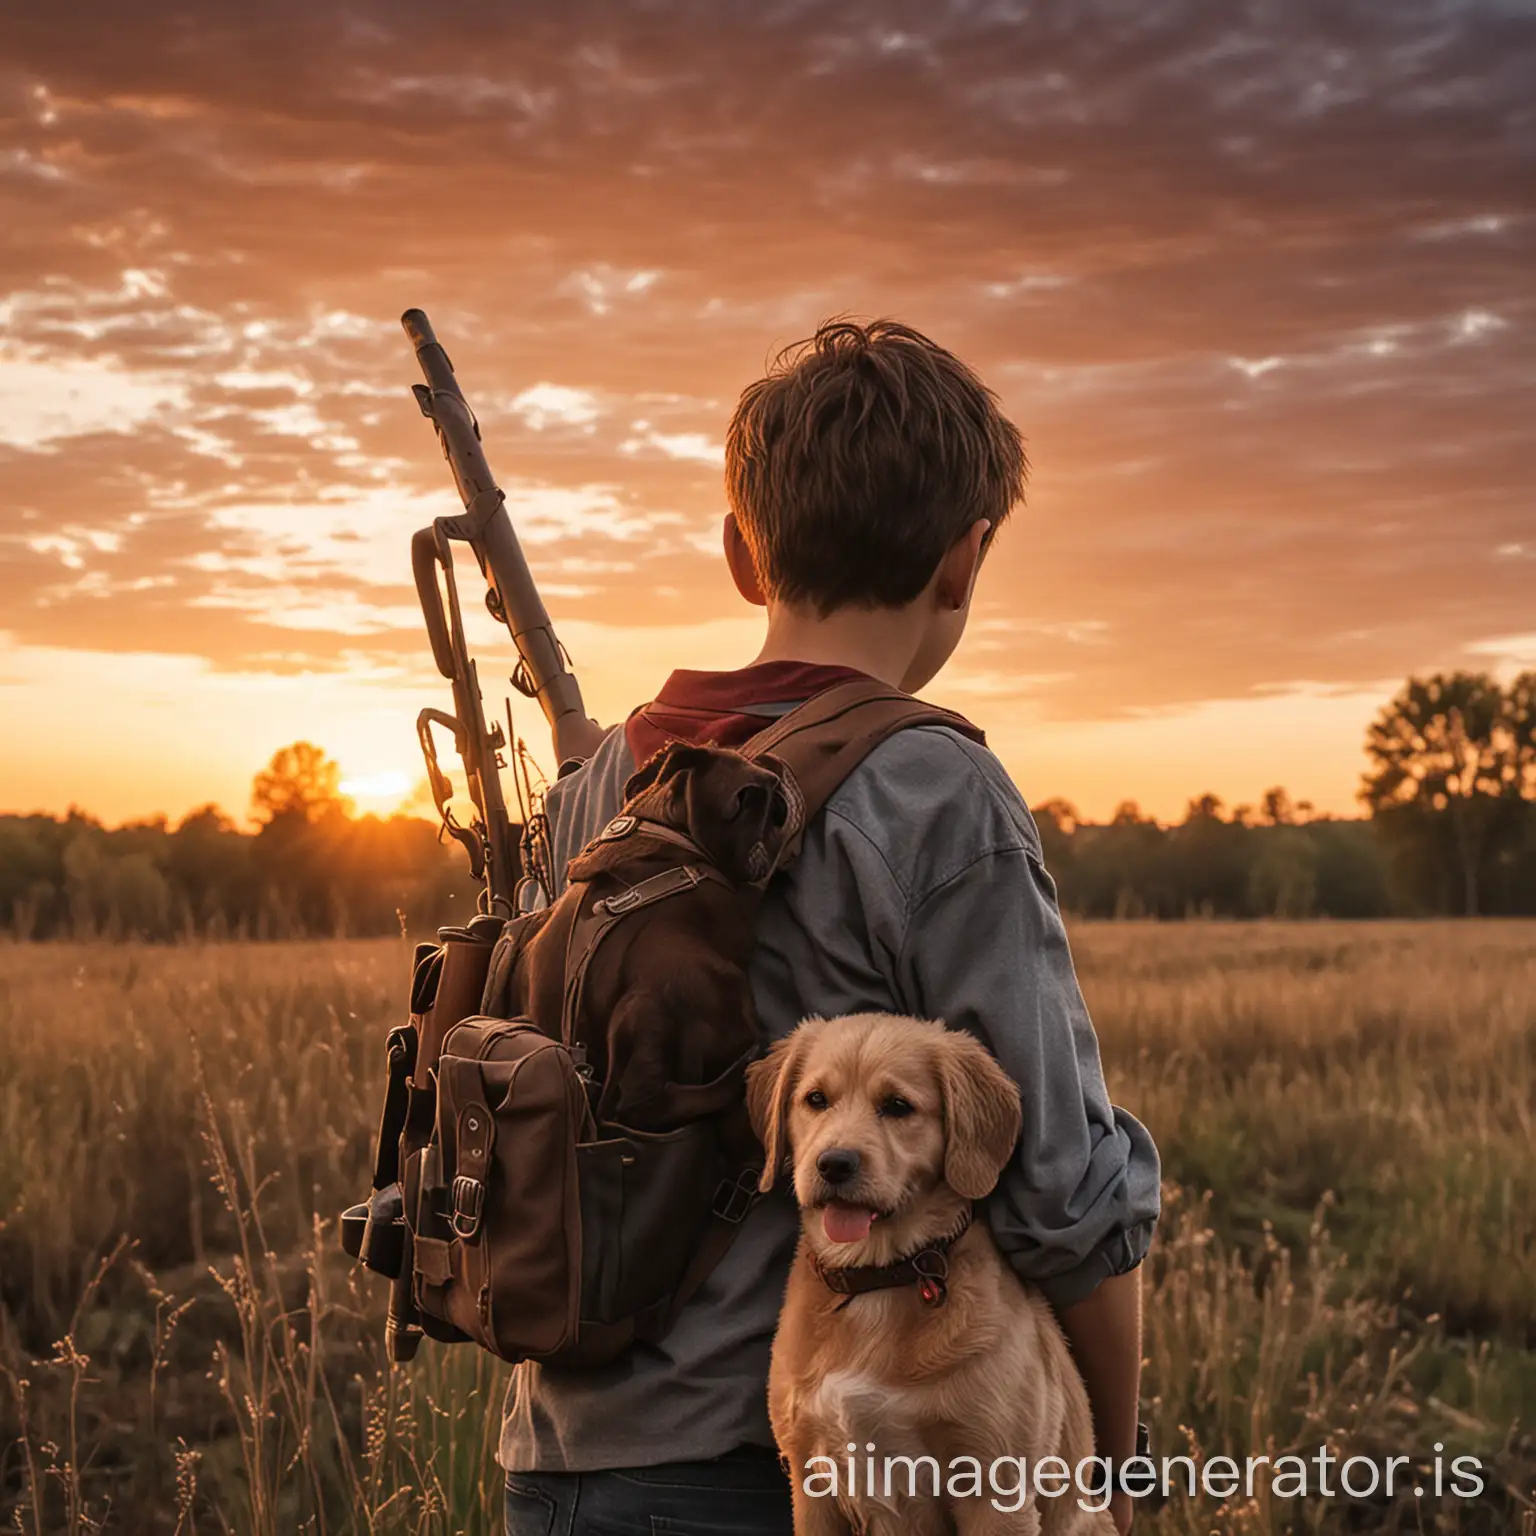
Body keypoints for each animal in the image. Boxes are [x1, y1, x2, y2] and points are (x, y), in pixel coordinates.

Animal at [746, 1019, 1118, 1536]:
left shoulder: (996, 1492)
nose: (834, 1164)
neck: (879, 1279)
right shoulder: (811, 1486)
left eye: (898, 1106)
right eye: (816, 1099)